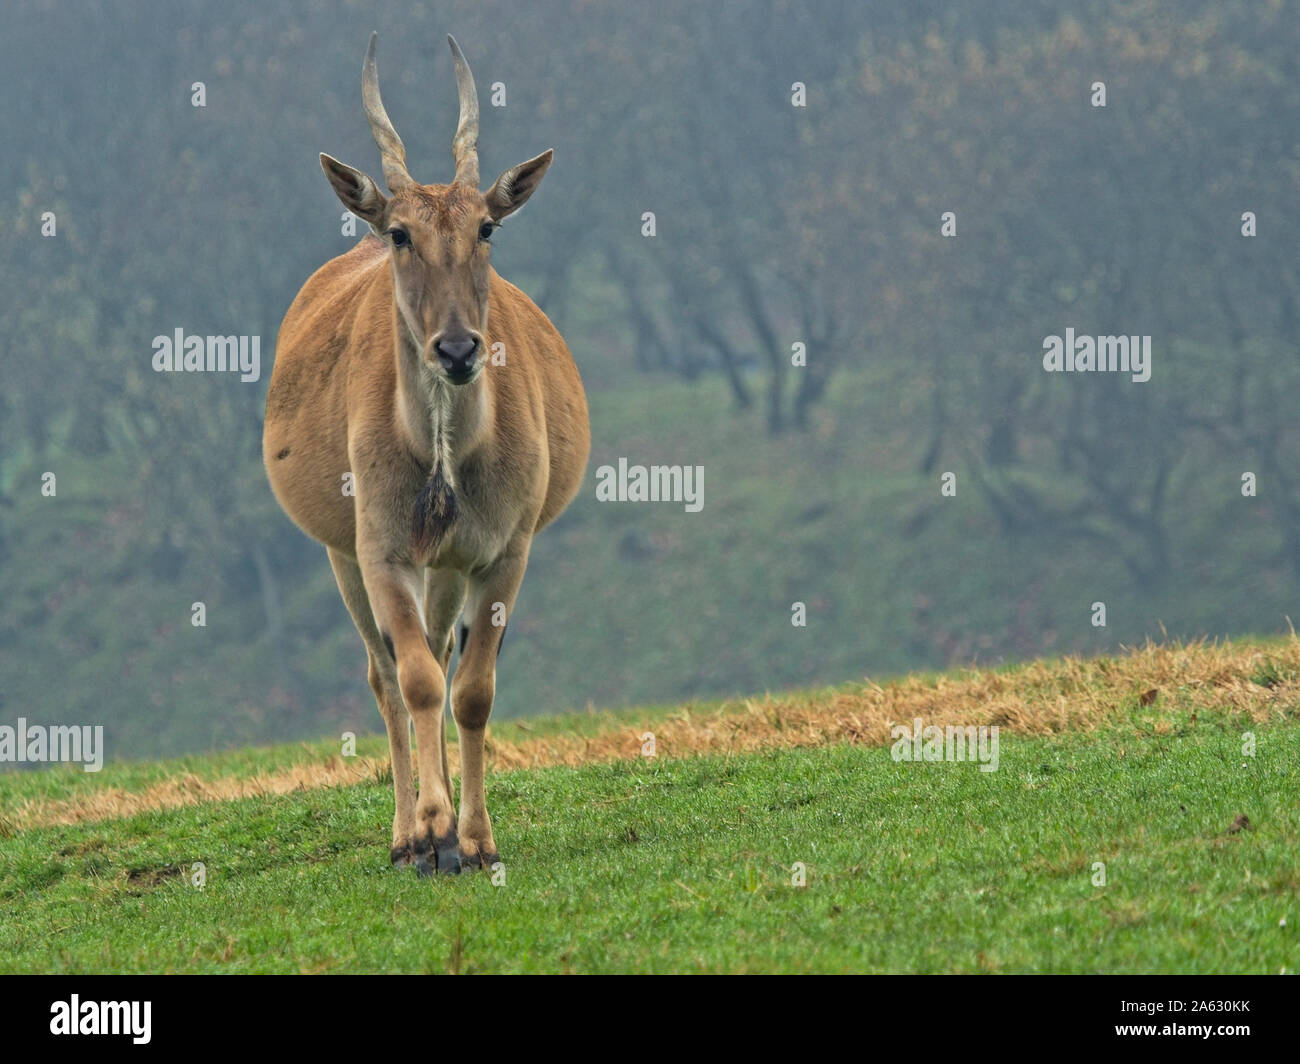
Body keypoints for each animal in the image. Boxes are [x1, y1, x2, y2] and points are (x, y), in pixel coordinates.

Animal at [263, 33, 590, 874]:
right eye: (401, 233)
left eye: (486, 229)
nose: (457, 349)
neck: (444, 453)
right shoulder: (381, 549)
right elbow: (411, 680)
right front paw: (434, 832)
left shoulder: (502, 552)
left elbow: (470, 688)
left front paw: (476, 839)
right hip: (342, 553)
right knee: (386, 674)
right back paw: (406, 832)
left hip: (444, 568)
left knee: (443, 657)